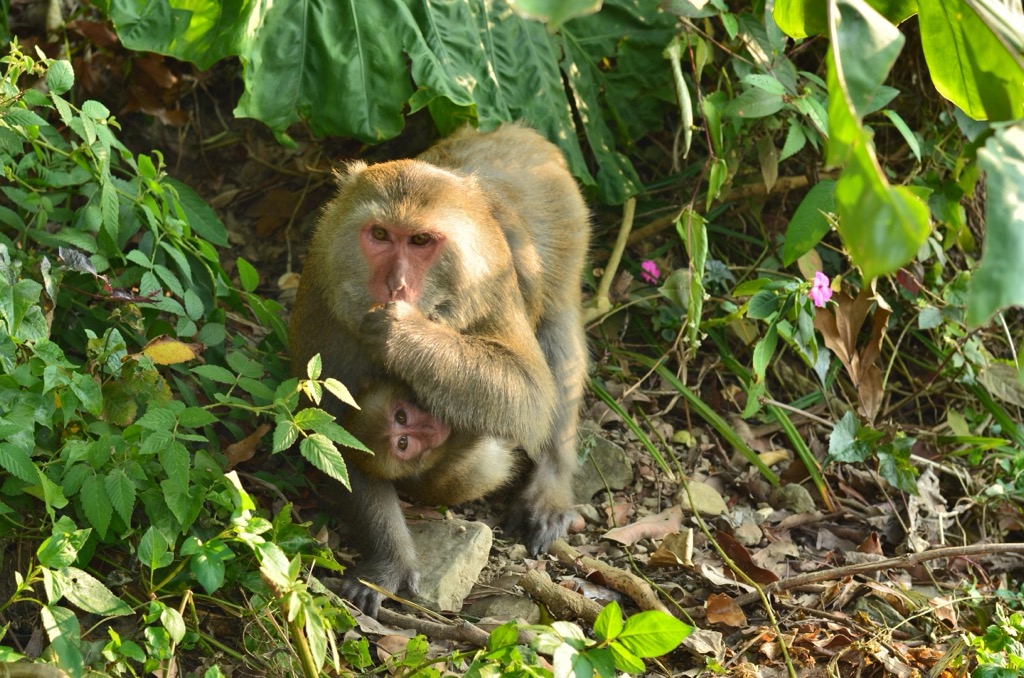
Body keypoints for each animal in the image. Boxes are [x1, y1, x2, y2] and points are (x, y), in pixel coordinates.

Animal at [289, 124, 589, 615]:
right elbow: (338, 441)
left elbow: (528, 392)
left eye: (420, 241)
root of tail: (515, 132)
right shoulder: (320, 309)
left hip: (563, 225)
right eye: (379, 234)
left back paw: (552, 482)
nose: (394, 285)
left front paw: (404, 336)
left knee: (558, 342)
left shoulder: (490, 286)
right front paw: (390, 563)